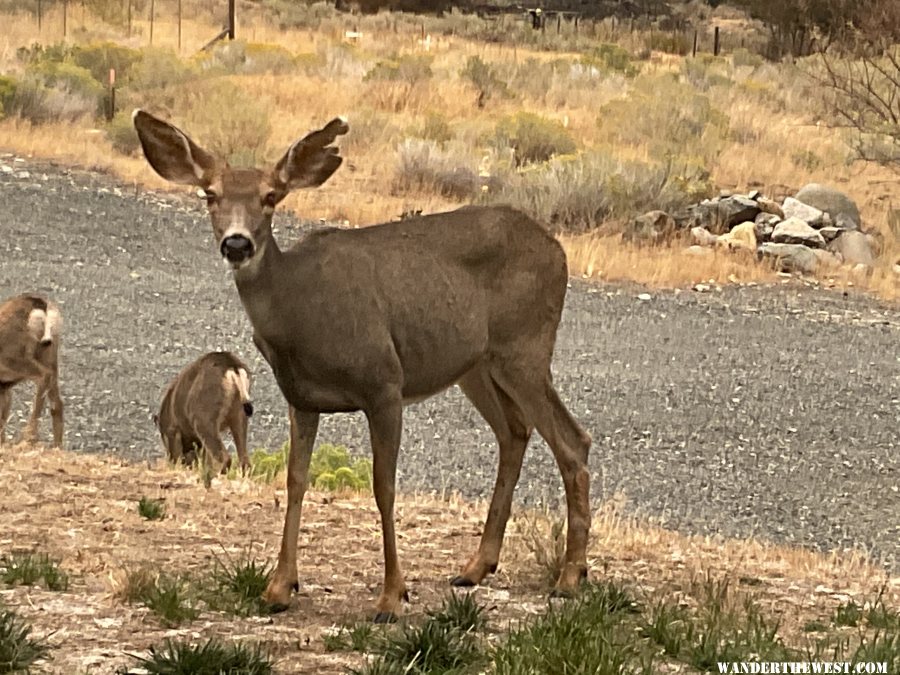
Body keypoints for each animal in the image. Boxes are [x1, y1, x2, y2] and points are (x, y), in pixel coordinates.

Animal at [0, 294, 64, 448]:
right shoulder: (5, 388)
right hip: (50, 355)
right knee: (57, 403)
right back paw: (57, 448)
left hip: (15, 357)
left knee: (44, 375)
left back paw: (29, 437)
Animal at [128, 109, 592, 624]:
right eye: (210, 194)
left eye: (271, 197)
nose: (236, 244)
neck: (300, 310)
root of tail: (558, 250)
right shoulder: (300, 397)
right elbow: (295, 480)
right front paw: (279, 587)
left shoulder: (384, 382)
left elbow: (383, 486)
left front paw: (391, 596)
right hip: (476, 365)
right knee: (514, 432)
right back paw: (476, 567)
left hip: (524, 347)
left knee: (573, 441)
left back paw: (570, 577)